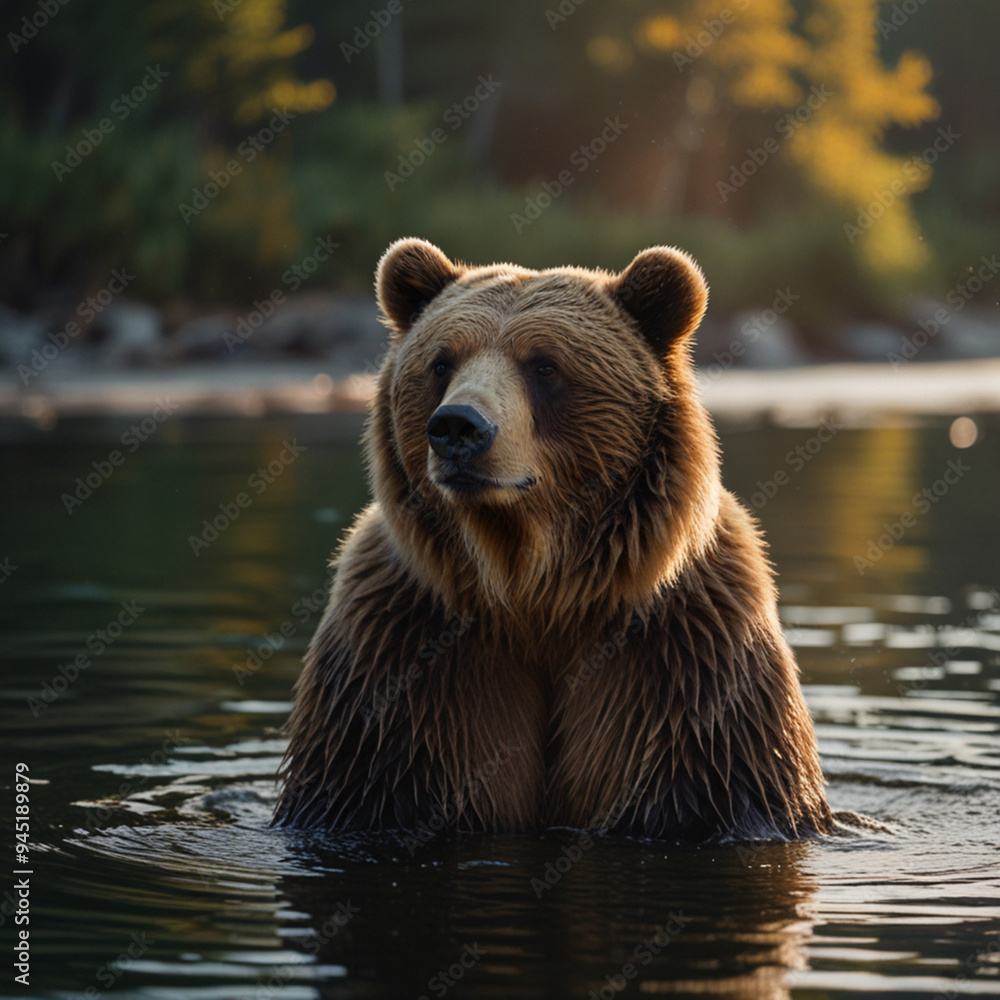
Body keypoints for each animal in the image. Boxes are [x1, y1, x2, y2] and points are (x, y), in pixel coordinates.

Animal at [273, 237, 835, 841]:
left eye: (544, 364)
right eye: (441, 361)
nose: (458, 427)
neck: (531, 586)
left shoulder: (684, 661)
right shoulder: (402, 655)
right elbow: (371, 778)